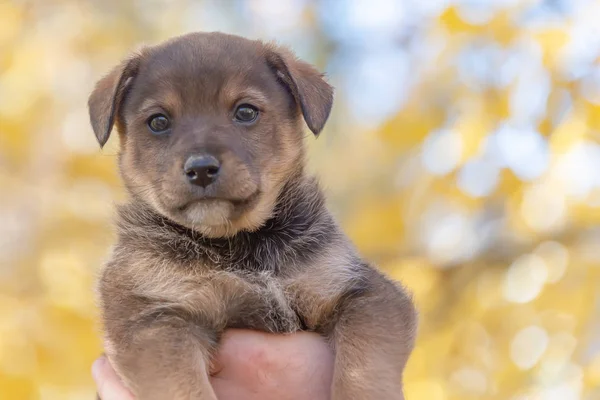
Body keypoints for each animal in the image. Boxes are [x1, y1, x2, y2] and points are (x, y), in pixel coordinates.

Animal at [89, 32, 418, 400]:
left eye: (245, 111)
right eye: (158, 122)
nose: (201, 169)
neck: (240, 244)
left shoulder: (362, 291)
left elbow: (364, 367)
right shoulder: (152, 320)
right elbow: (185, 388)